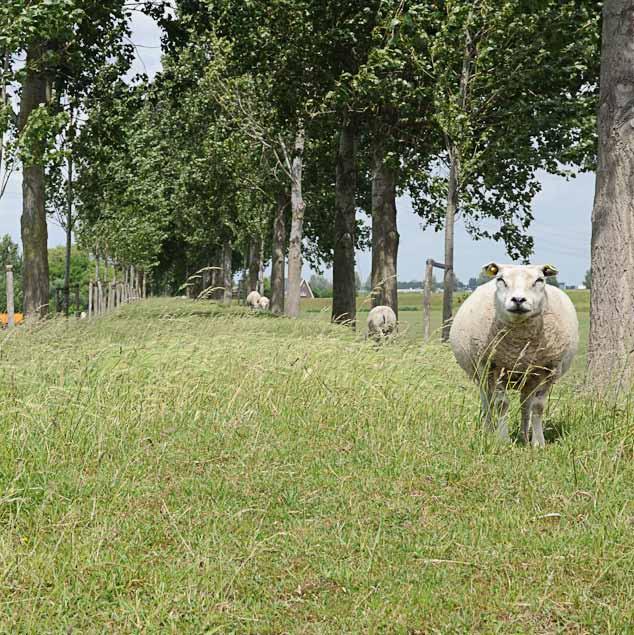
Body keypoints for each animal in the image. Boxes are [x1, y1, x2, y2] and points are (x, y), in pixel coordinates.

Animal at [446, 264, 576, 448]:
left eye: (539, 280)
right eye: (501, 279)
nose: (519, 300)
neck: (519, 345)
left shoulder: (548, 370)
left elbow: (538, 407)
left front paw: (538, 442)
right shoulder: (494, 367)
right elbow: (501, 404)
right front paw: (502, 439)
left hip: (528, 379)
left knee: (525, 404)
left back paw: (524, 435)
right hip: (481, 373)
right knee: (487, 402)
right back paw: (488, 431)